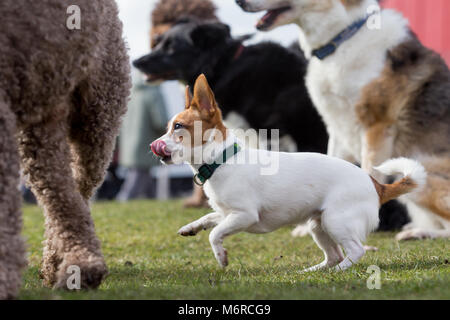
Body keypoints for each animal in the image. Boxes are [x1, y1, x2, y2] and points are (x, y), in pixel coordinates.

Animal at [151, 74, 426, 270]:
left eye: (178, 127)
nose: (154, 145)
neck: (222, 160)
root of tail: (377, 185)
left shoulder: (244, 215)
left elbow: (215, 234)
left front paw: (221, 257)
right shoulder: (228, 214)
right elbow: (209, 218)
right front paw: (191, 227)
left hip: (336, 221)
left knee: (355, 251)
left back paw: (339, 271)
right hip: (318, 226)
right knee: (334, 255)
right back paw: (312, 272)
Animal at [236, 0, 450, 240]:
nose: (238, 3)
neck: (341, 39)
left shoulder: (376, 126)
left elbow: (368, 172)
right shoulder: (337, 127)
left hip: (420, 183)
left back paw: (419, 232)